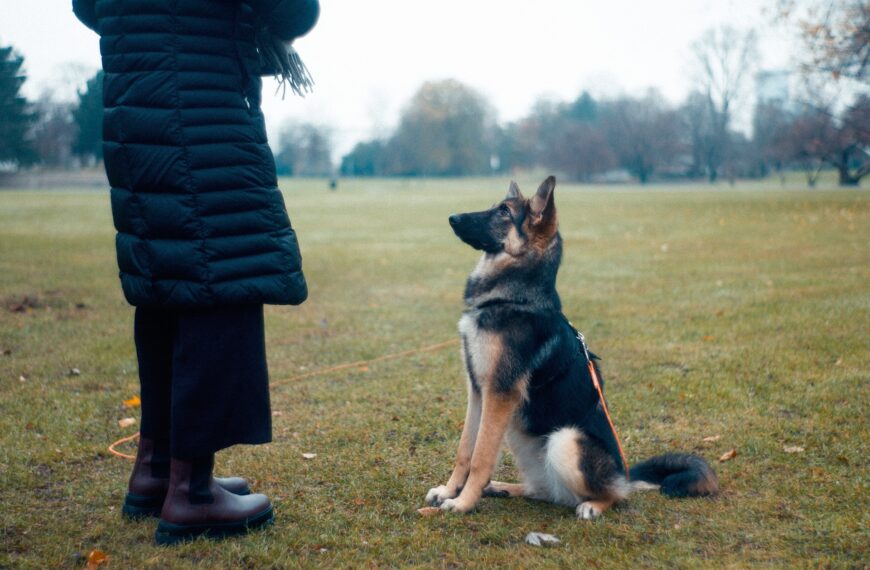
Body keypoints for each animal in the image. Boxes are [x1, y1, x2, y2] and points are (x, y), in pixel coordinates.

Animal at [426, 178, 720, 520]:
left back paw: (593, 505)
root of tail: (624, 474)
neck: (514, 297)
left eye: (503, 211)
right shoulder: (478, 391)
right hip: (520, 434)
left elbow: (480, 457)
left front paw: (462, 503)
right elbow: (465, 450)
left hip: (564, 440)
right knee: (543, 490)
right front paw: (449, 491)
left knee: (615, 496)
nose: (452, 218)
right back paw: (502, 487)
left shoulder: (499, 394)